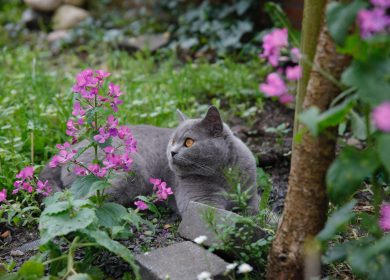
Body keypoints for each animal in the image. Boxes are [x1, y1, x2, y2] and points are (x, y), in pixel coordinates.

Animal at [40, 106, 258, 215]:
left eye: (188, 142)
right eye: (172, 141)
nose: (172, 152)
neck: (225, 175)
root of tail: (69, 150)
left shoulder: (251, 194)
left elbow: (256, 211)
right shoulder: (200, 201)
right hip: (130, 172)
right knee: (85, 201)